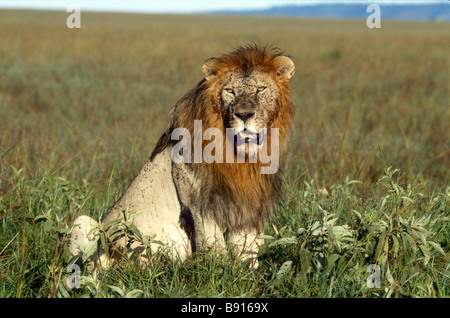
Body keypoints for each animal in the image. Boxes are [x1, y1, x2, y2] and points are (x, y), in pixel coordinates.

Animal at [68, 43, 296, 270]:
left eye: (261, 89)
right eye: (230, 91)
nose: (244, 114)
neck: (240, 158)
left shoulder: (250, 205)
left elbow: (246, 252)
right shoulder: (199, 202)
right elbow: (215, 248)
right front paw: (219, 271)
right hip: (83, 223)